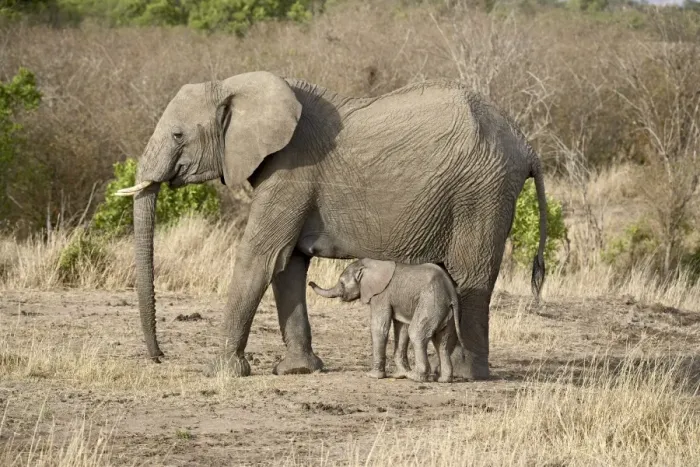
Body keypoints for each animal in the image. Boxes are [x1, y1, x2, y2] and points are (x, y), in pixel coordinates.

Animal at [309, 259, 465, 383]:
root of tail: (451, 292)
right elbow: (402, 330)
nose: (310, 282)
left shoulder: (381, 295)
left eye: (341, 283)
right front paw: (400, 375)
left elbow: (380, 327)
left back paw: (415, 377)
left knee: (417, 333)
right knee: (442, 342)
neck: (370, 264)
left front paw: (373, 376)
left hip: (431, 302)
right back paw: (443, 380)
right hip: (444, 310)